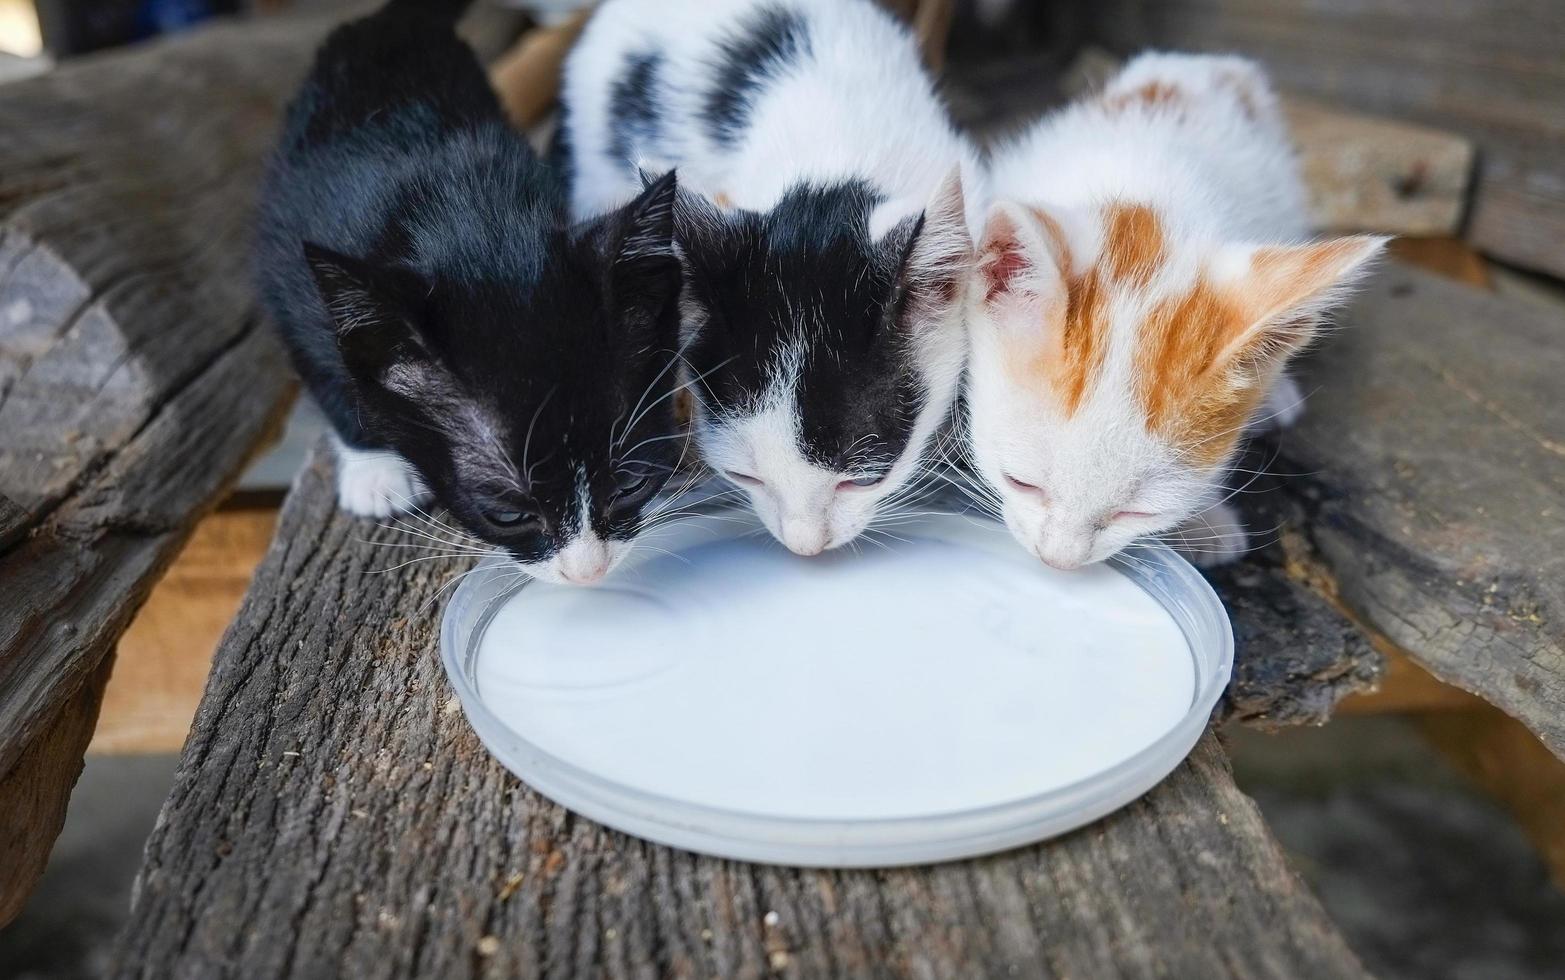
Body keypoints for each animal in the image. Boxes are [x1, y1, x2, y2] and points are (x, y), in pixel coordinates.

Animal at [256, 0, 685, 579]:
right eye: (506, 513)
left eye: (632, 483)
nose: (586, 572)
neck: (467, 221)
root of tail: (384, 24)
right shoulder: (290, 276)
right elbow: (324, 369)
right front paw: (375, 470)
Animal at [964, 53, 1383, 569]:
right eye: (1021, 482)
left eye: (1138, 513)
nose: (1060, 560)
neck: (1141, 197)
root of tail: (1205, 63)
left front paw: (1205, 520)